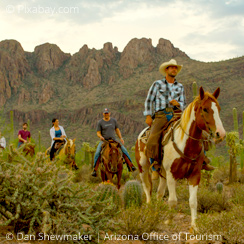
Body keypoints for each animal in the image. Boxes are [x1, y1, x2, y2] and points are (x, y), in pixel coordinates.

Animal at [134, 86, 226, 230]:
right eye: (205, 109)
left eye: (219, 108)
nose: (220, 133)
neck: (186, 145)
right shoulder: (172, 175)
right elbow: (172, 201)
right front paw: (169, 221)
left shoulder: (195, 175)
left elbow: (193, 201)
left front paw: (194, 226)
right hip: (143, 167)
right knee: (147, 188)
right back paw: (149, 210)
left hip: (162, 173)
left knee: (159, 193)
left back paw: (156, 213)